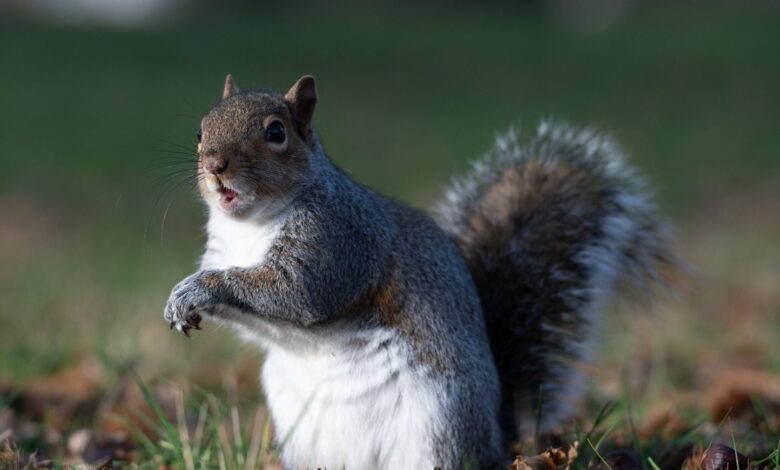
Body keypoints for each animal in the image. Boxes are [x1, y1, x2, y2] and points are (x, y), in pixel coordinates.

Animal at [164, 74, 676, 469]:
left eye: (276, 132)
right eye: (200, 129)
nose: (214, 166)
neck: (251, 225)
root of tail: (497, 439)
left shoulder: (337, 242)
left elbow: (299, 294)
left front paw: (200, 290)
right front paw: (181, 298)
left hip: (438, 422)